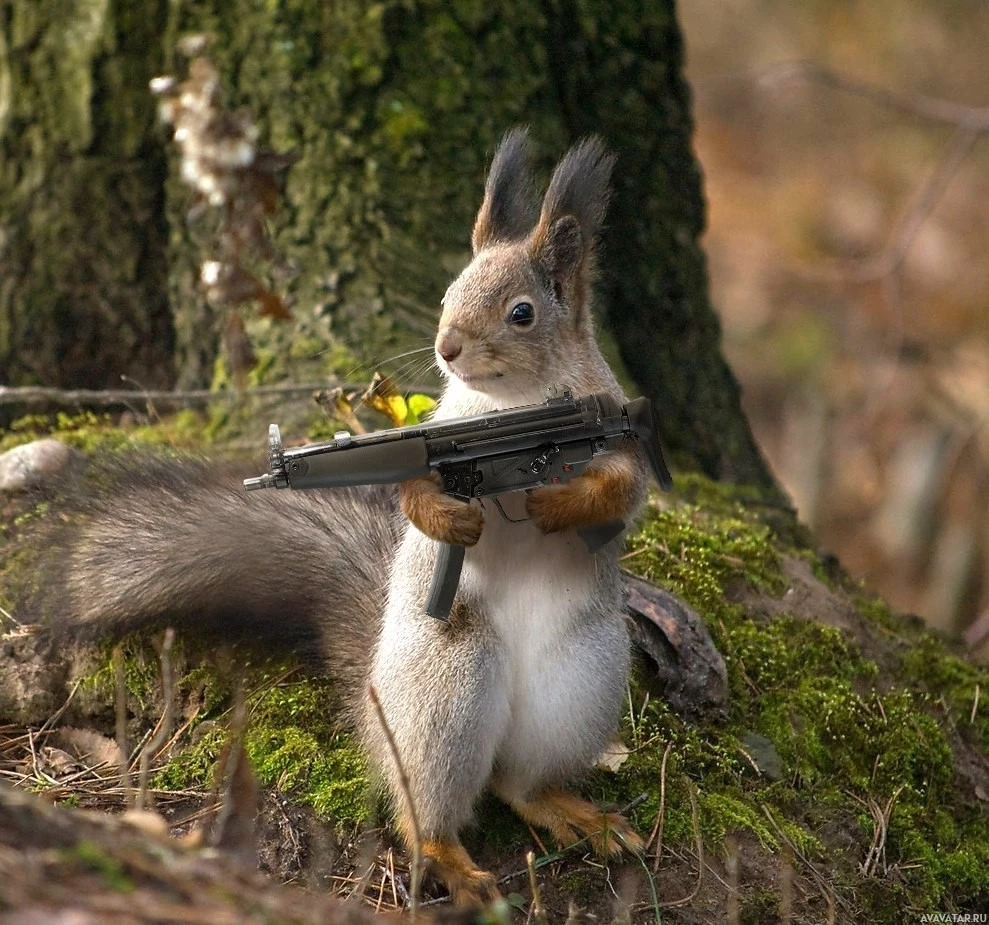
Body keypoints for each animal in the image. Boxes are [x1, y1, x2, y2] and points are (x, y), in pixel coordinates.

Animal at [30, 130, 652, 904]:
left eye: (522, 312)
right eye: (447, 292)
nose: (446, 347)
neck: (515, 406)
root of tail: (373, 699)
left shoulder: (617, 433)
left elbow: (623, 494)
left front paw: (551, 502)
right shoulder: (441, 441)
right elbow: (417, 494)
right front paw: (457, 517)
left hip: (581, 680)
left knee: (518, 784)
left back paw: (574, 814)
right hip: (447, 681)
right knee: (426, 808)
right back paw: (452, 861)